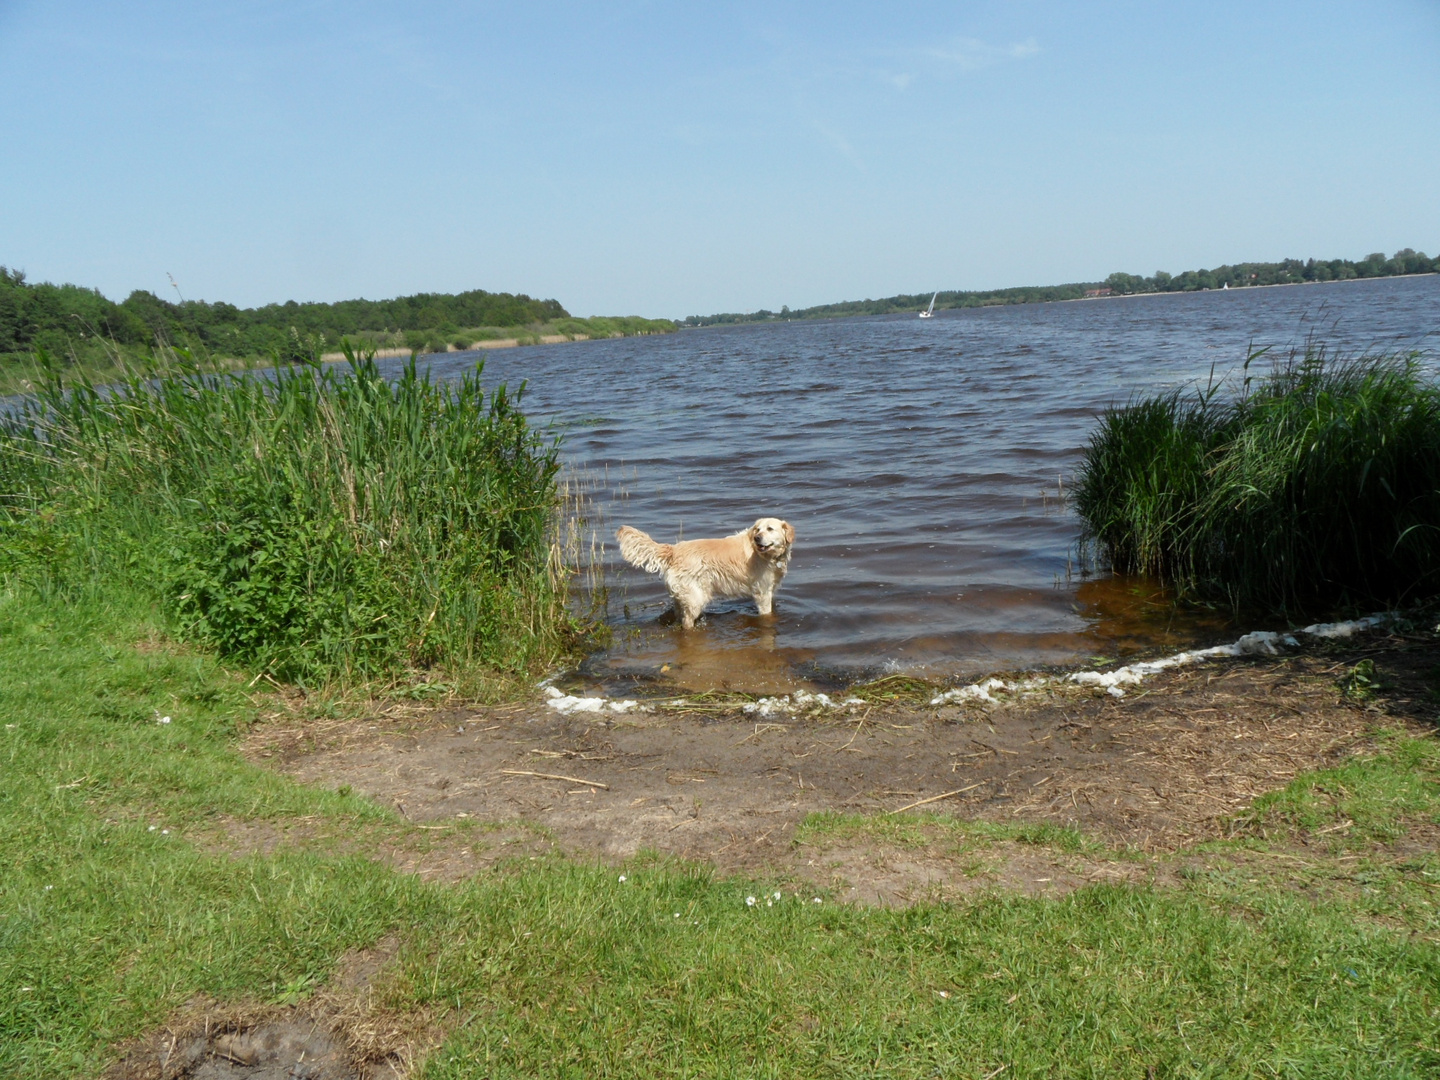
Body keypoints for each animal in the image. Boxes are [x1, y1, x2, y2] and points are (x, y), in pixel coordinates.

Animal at [616, 521, 800, 630]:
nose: (757, 538)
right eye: (757, 529)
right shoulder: (762, 592)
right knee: (687, 622)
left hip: (681, 596)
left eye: (770, 529)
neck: (769, 556)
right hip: (696, 597)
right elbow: (766, 613)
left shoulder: (770, 589)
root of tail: (674, 550)